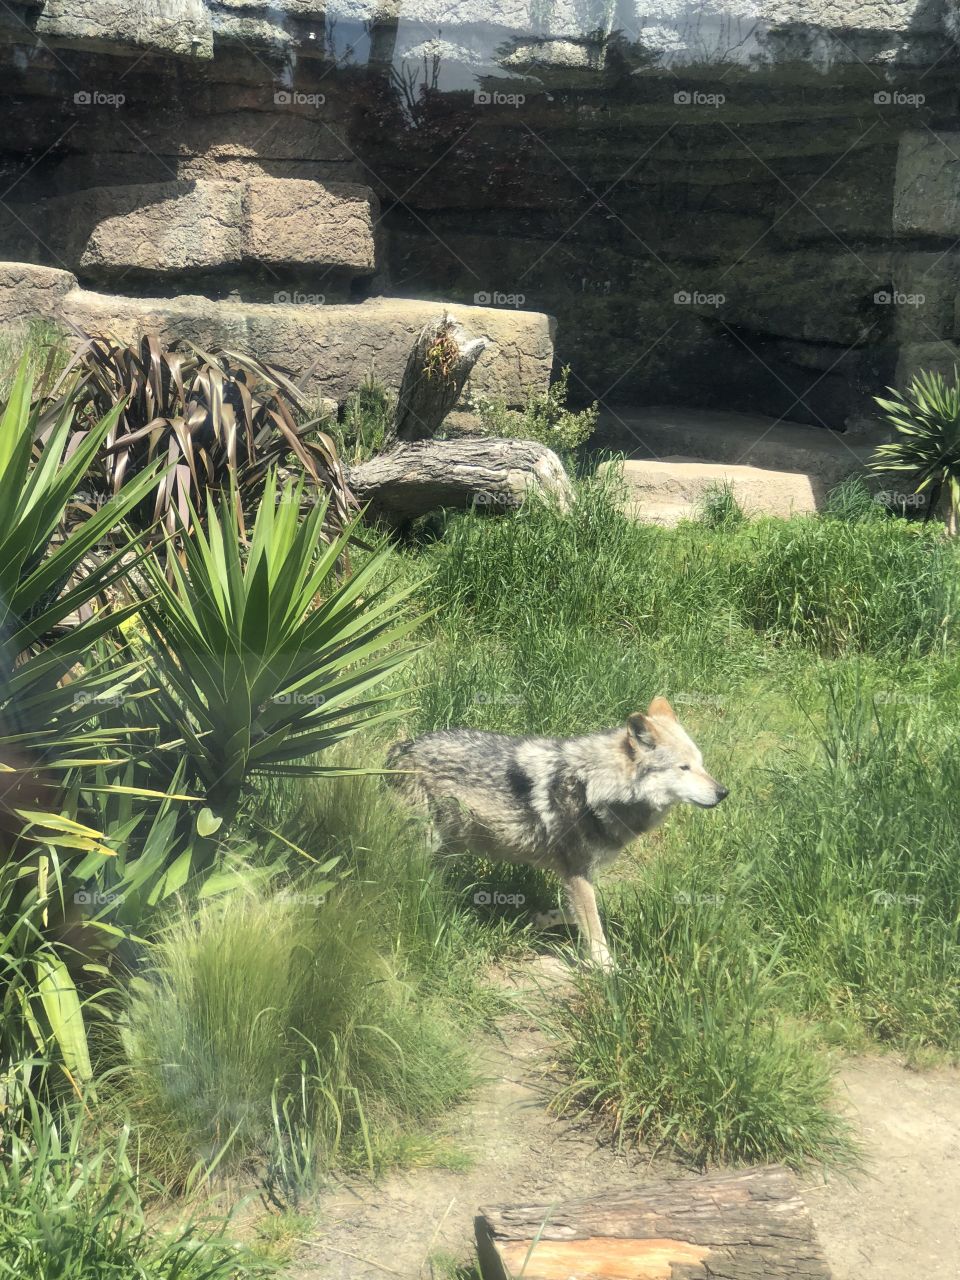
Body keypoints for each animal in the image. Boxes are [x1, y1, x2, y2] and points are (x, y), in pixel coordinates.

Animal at [386, 697, 727, 968]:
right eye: (683, 768)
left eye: (701, 764)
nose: (723, 792)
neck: (595, 787)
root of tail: (398, 749)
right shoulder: (577, 872)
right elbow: (595, 930)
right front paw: (611, 974)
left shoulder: (577, 875)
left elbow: (574, 913)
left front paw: (542, 919)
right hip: (428, 843)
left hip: (451, 848)